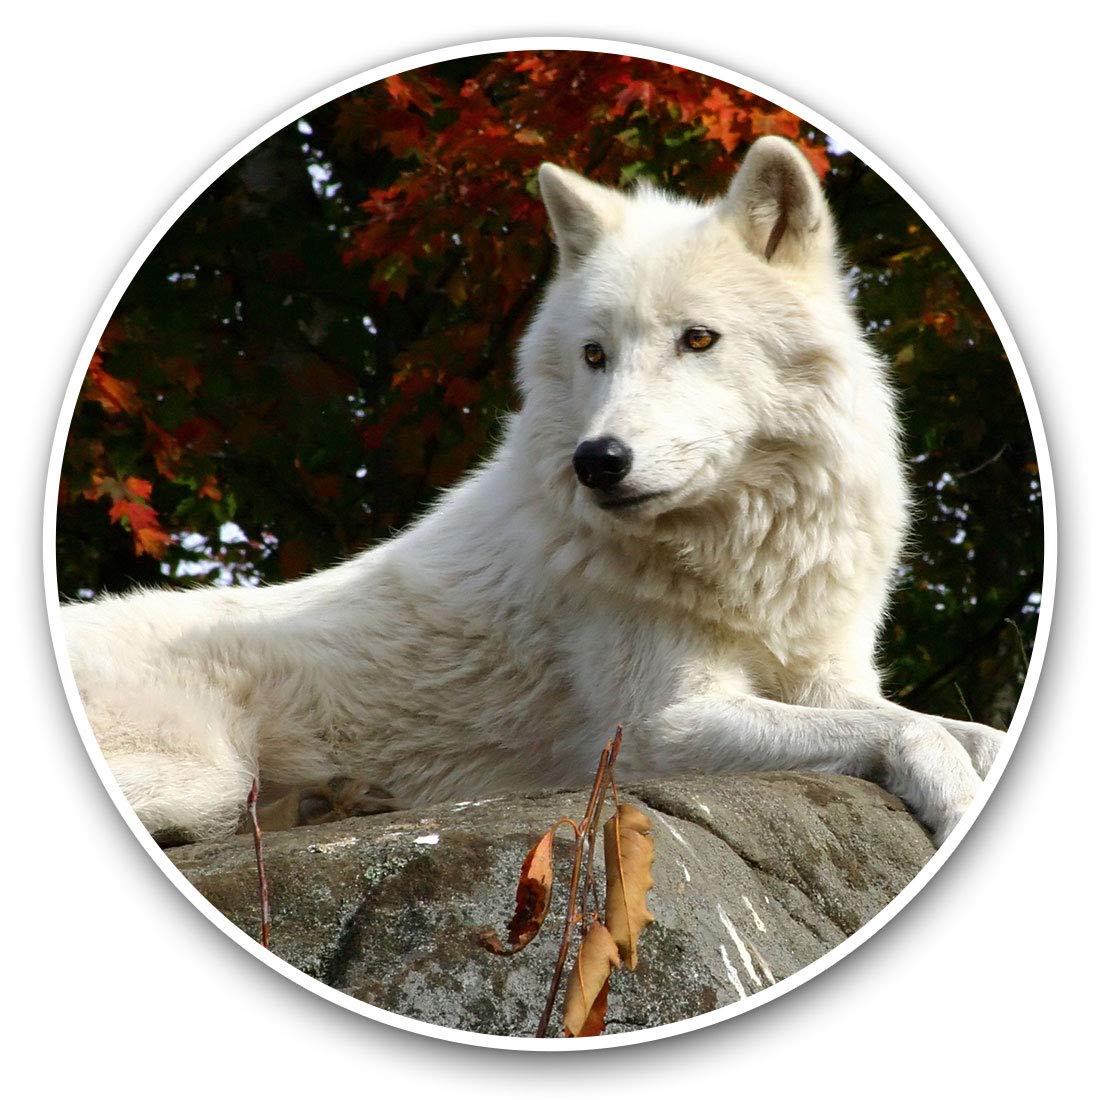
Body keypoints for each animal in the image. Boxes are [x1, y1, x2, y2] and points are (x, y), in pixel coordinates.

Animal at [62, 136, 1006, 847]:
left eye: (699, 339)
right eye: (595, 355)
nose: (599, 461)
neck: (741, 553)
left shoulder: (826, 681)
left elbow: (966, 730)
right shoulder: (657, 726)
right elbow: (915, 729)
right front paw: (958, 801)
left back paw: (333, 801)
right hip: (205, 768)